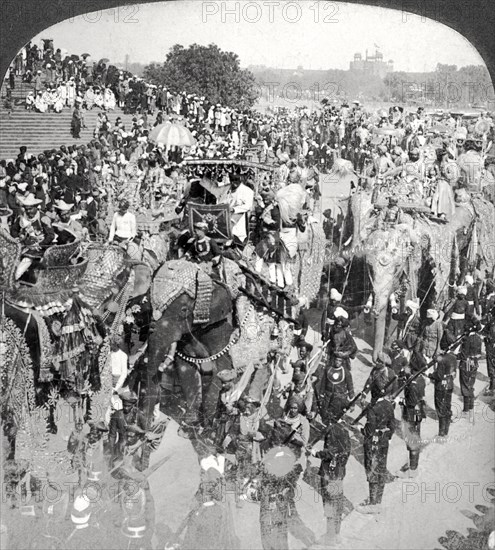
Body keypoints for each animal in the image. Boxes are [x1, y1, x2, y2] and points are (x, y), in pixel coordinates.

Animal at [348, 189, 495, 362]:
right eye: (369, 267)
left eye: (398, 268)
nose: (380, 358)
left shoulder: (418, 261)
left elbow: (413, 298)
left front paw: (397, 346)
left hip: (470, 241)